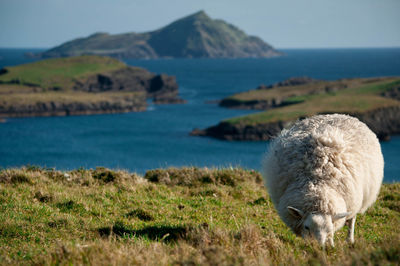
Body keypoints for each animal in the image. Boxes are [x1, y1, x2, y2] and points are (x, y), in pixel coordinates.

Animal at [262, 113, 384, 246]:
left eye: (329, 229)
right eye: (307, 227)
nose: (319, 247)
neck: (317, 184)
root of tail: (337, 114)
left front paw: (331, 244)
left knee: (352, 219)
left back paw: (349, 239)